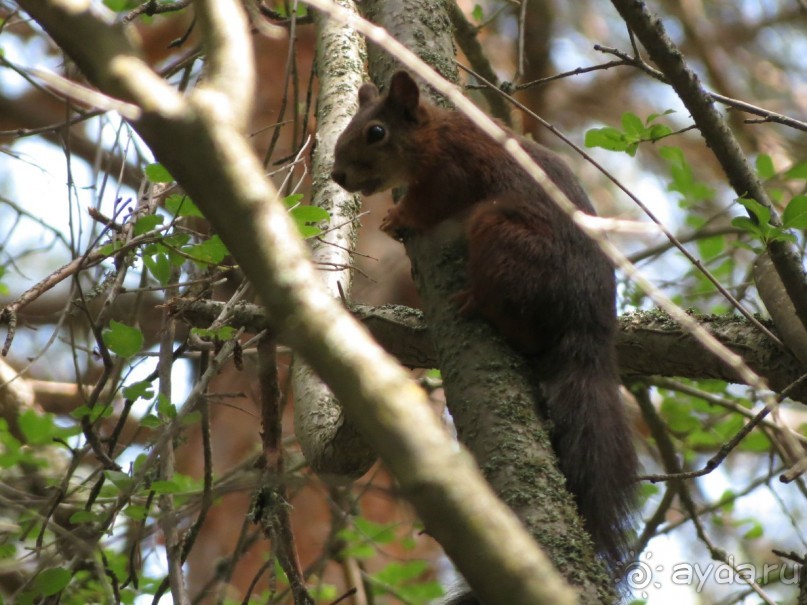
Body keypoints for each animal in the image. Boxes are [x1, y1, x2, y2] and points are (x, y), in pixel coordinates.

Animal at [332, 72, 636, 572]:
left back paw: (479, 304)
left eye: (376, 133)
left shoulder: (452, 175)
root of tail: (589, 325)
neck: (437, 134)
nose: (338, 175)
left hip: (499, 231)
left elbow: (427, 206)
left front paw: (398, 217)